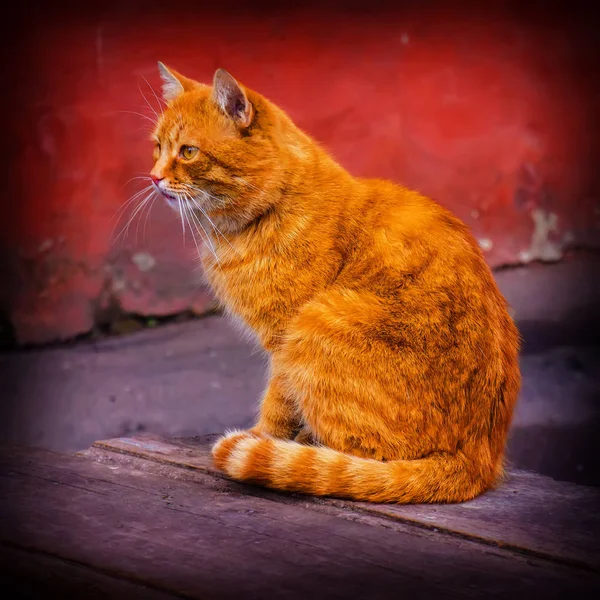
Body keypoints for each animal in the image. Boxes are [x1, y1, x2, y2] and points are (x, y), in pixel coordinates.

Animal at [150, 63, 520, 504]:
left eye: (188, 152)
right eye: (156, 147)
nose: (153, 178)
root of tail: (479, 459)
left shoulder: (284, 338)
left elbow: (277, 404)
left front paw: (263, 437)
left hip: (320, 318)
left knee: (367, 458)